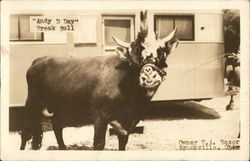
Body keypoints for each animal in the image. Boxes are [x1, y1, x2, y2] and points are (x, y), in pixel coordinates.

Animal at [20, 10, 179, 150]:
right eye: (134, 55)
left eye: (162, 52)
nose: (149, 75)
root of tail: (39, 60)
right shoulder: (99, 116)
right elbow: (98, 144)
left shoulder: (129, 121)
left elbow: (123, 142)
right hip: (32, 103)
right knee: (26, 132)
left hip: (60, 106)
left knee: (56, 125)